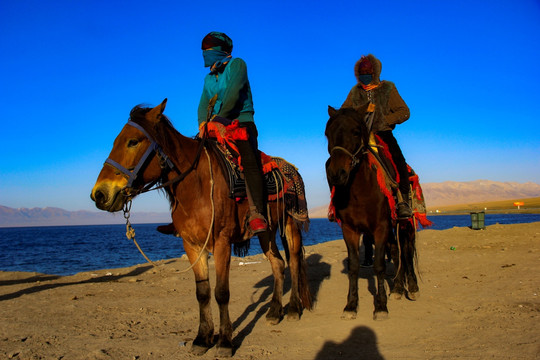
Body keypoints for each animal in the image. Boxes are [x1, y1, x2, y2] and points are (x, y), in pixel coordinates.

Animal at [90, 99, 310, 358]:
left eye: (133, 141)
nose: (99, 194)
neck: (196, 186)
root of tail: (292, 168)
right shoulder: (192, 245)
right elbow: (202, 293)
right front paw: (202, 338)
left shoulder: (222, 242)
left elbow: (221, 292)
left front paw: (224, 342)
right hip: (266, 231)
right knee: (278, 263)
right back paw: (275, 311)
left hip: (290, 223)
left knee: (294, 261)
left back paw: (293, 308)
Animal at [322, 104, 420, 320]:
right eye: (327, 134)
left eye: (356, 132)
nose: (336, 174)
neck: (360, 191)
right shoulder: (349, 229)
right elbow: (354, 266)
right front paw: (351, 306)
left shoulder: (380, 227)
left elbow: (379, 265)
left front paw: (381, 307)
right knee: (397, 251)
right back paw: (398, 289)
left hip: (405, 223)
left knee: (407, 250)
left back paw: (413, 287)